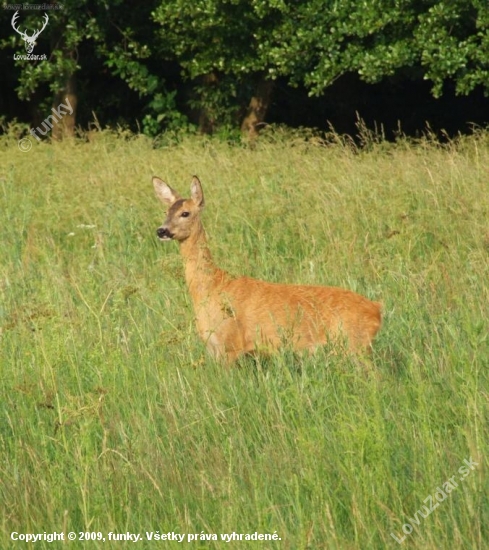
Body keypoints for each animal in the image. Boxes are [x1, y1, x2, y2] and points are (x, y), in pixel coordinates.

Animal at [153, 178, 382, 366]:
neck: (212, 287)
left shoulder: (230, 343)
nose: (161, 230)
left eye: (185, 213)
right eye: (166, 212)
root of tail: (377, 309)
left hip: (355, 344)